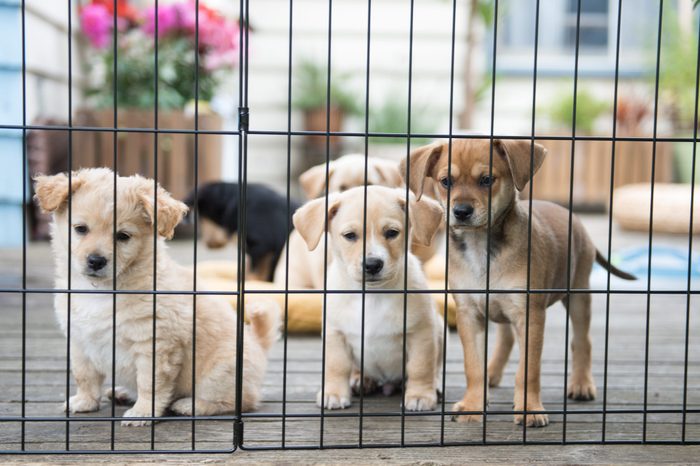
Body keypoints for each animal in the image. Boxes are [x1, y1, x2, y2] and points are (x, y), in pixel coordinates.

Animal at [33, 169, 278, 428]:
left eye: (123, 236)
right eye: (80, 229)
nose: (96, 261)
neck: (103, 291)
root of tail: (259, 345)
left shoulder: (155, 345)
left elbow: (149, 384)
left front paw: (143, 413)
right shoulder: (80, 340)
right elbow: (84, 375)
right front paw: (84, 402)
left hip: (218, 375)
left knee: (240, 401)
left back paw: (190, 405)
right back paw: (122, 393)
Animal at [292, 186, 446, 412]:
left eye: (392, 233)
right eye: (350, 236)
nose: (373, 264)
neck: (372, 295)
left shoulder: (422, 334)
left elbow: (421, 367)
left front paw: (420, 395)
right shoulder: (335, 334)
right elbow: (336, 366)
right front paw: (334, 393)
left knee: (434, 367)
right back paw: (361, 380)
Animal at [400, 137, 636, 426]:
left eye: (487, 179)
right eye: (446, 181)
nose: (461, 211)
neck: (482, 247)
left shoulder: (529, 315)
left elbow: (528, 369)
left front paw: (529, 409)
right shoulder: (470, 314)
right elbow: (473, 366)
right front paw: (473, 405)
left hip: (579, 295)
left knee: (582, 341)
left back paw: (581, 384)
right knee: (506, 340)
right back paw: (492, 374)